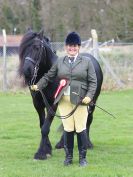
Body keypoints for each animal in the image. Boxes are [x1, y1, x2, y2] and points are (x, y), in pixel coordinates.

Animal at [18, 30, 103, 160]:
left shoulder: (52, 104)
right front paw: (47, 148)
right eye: (23, 49)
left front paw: (41, 153)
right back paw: (62, 143)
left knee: (88, 119)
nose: (26, 71)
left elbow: (45, 128)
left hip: (91, 101)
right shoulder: (38, 104)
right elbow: (42, 125)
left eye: (37, 47)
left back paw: (88, 143)